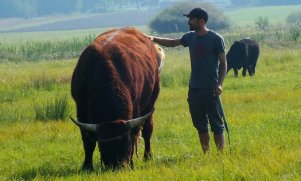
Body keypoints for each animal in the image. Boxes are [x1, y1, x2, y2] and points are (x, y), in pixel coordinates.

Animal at [69, 26, 164, 170]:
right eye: (103, 145)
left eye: (126, 143)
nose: (117, 166)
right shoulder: (81, 110)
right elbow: (88, 140)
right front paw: (87, 166)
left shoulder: (136, 108)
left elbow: (135, 134)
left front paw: (131, 163)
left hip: (150, 103)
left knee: (147, 130)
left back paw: (148, 156)